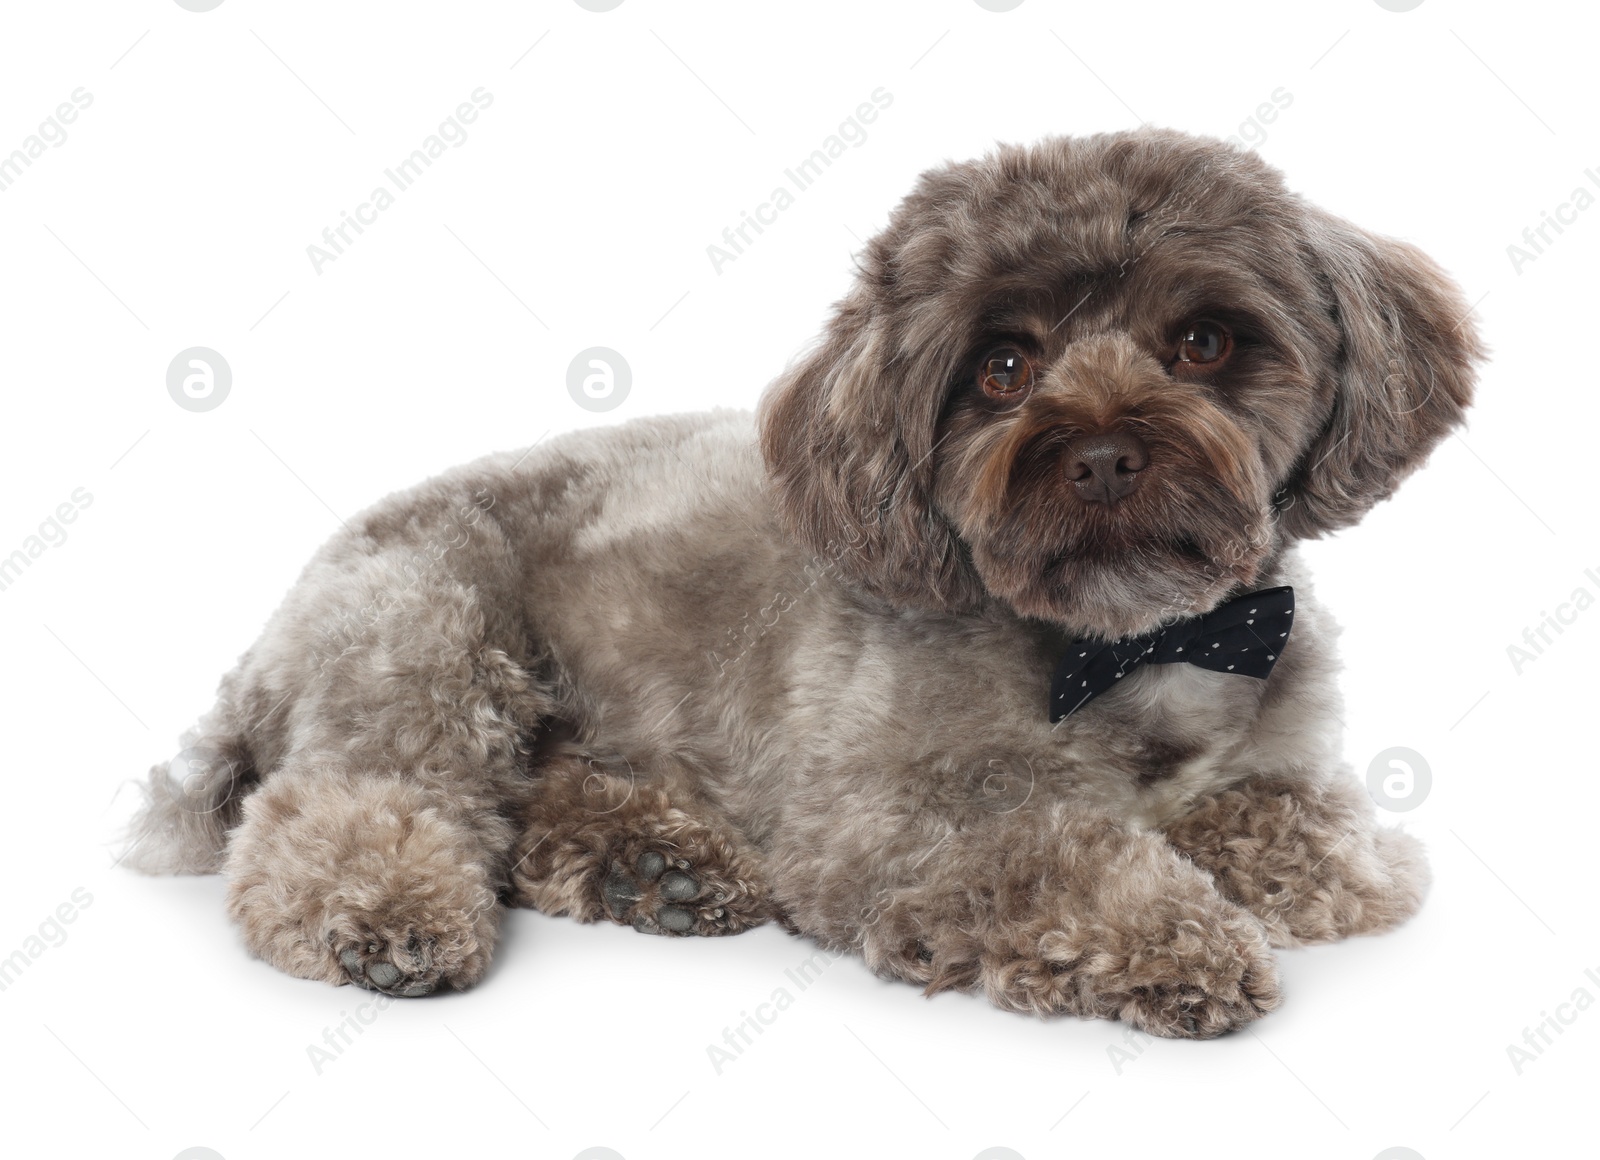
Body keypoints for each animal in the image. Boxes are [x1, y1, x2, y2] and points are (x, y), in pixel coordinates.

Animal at [124, 128, 1472, 1043]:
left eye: (1202, 339)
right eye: (1001, 365)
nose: (1098, 454)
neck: (1122, 643)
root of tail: (278, 622)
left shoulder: (1284, 768)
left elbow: (1325, 845)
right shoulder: (880, 819)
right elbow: (1054, 847)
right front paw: (1172, 934)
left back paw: (651, 863)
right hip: (430, 648)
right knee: (346, 806)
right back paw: (393, 913)